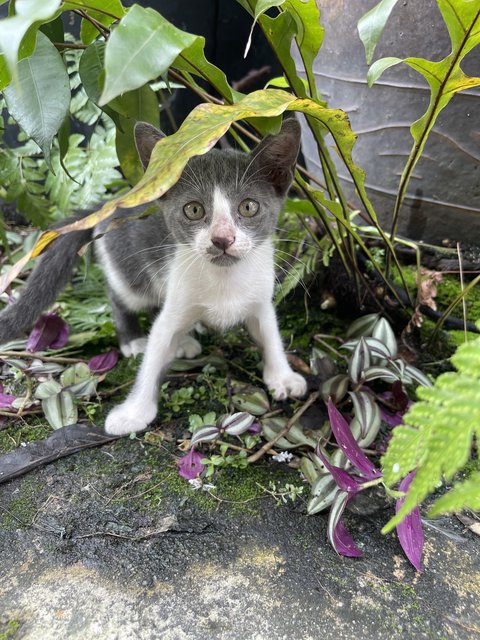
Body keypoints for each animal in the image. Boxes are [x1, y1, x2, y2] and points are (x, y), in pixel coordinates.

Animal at [0, 119, 308, 436]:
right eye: (194, 209)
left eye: (248, 206)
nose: (223, 239)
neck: (225, 277)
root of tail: (115, 201)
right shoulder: (175, 296)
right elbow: (155, 349)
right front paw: (134, 412)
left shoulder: (260, 298)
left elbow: (269, 332)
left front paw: (282, 376)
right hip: (131, 272)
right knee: (122, 297)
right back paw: (134, 339)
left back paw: (185, 340)